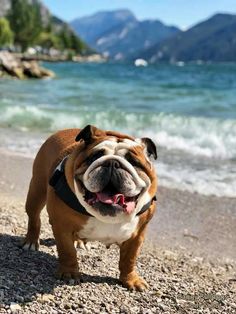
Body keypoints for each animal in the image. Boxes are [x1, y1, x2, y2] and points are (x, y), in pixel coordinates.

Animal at [21, 124, 157, 290]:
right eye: (95, 157)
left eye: (134, 162)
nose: (113, 163)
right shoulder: (62, 227)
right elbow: (67, 251)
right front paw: (70, 274)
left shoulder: (137, 236)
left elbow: (129, 259)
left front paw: (131, 279)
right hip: (36, 192)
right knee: (34, 218)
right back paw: (31, 242)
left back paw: (79, 242)